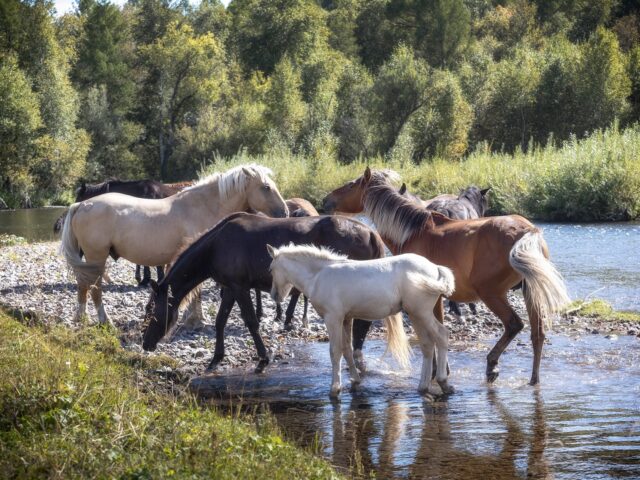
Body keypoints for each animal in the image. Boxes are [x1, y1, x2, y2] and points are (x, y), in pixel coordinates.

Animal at [141, 212, 386, 373]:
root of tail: (371, 233)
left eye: (153, 312)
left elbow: (251, 321)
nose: (146, 344)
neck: (216, 246)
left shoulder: (240, 287)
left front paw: (263, 358)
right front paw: (216, 357)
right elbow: (220, 321)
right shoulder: (230, 288)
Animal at [268, 244, 456, 397]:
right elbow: (347, 349)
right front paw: (355, 381)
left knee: (442, 335)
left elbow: (335, 351)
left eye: (270, 269)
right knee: (427, 345)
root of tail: (435, 267)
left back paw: (443, 382)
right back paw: (423, 386)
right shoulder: (346, 318)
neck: (318, 276)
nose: (274, 296)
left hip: (421, 313)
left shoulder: (332, 318)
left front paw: (335, 388)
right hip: (416, 314)